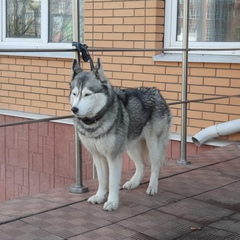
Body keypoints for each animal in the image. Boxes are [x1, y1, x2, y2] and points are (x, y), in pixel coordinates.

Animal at [70, 59, 172, 211]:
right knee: (142, 165)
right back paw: (133, 183)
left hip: (154, 146)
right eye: (75, 94)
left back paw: (152, 187)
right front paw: (99, 196)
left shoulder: (113, 156)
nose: (74, 109)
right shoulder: (97, 155)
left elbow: (112, 182)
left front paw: (112, 202)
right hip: (132, 146)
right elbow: (102, 179)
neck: (95, 122)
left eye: (87, 94)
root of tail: (156, 91)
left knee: (155, 166)